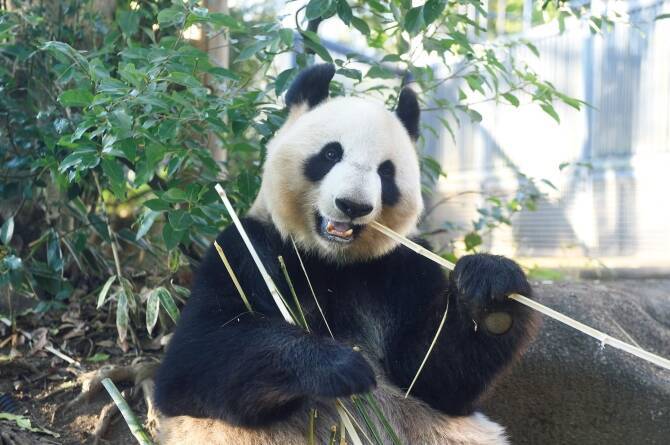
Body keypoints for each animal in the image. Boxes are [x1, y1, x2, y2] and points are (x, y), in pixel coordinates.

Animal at [154, 63, 540, 444]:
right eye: (330, 154)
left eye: (386, 172)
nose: (353, 206)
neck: (331, 261)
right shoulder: (245, 249)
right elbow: (193, 356)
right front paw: (336, 365)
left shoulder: (401, 268)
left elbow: (433, 377)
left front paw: (490, 288)